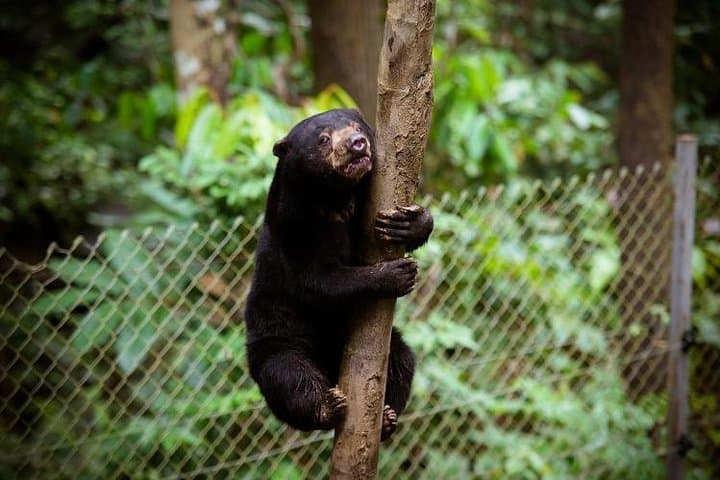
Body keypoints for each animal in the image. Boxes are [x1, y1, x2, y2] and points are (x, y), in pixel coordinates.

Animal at [244, 109, 433, 441]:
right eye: (323, 139)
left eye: (357, 126)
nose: (357, 143)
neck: (335, 195)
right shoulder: (293, 227)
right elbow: (317, 281)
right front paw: (399, 274)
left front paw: (409, 223)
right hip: (276, 342)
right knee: (289, 376)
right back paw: (327, 407)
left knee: (402, 361)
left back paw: (387, 417)